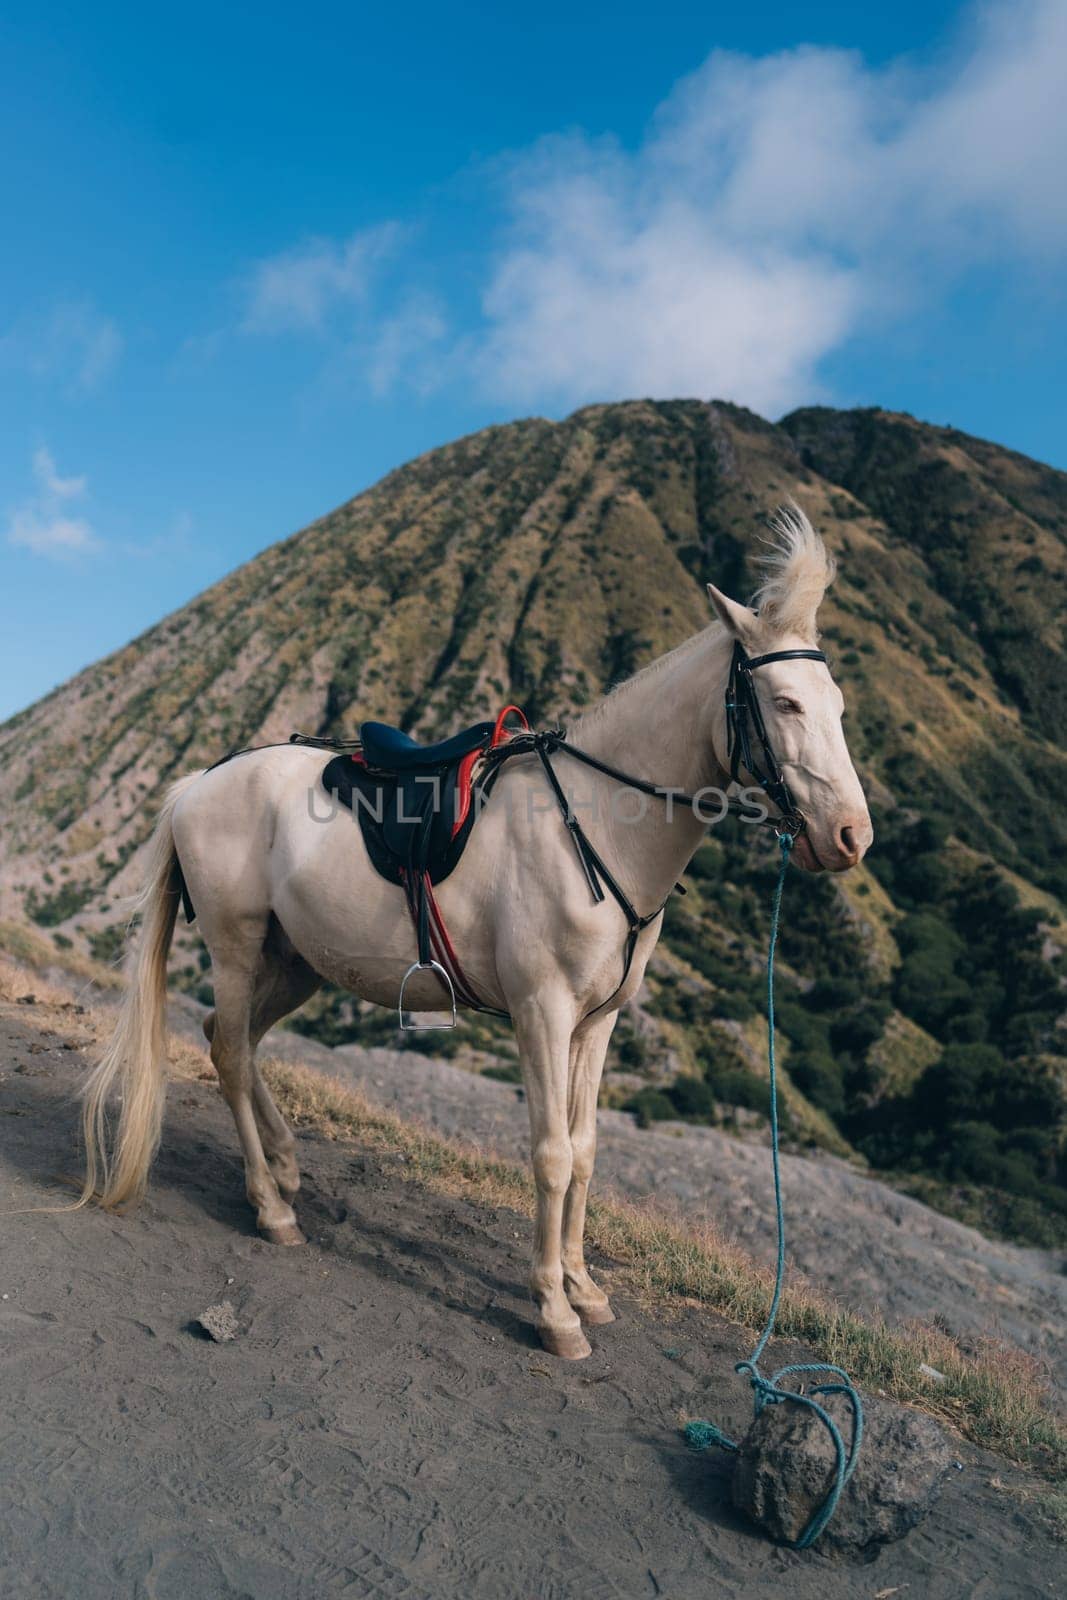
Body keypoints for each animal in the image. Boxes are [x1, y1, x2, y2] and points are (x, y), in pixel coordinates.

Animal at [81, 505, 870, 1356]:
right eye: (785, 704)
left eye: (838, 708)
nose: (851, 836)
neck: (592, 821)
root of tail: (201, 781)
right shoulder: (541, 1013)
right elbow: (551, 1154)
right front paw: (553, 1309)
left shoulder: (596, 1023)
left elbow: (585, 1152)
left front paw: (584, 1287)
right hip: (236, 947)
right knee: (228, 1051)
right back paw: (271, 1204)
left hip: (297, 965)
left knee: (236, 1041)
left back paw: (287, 1167)